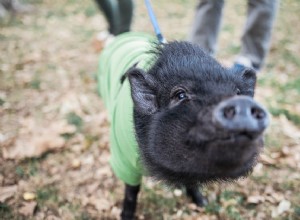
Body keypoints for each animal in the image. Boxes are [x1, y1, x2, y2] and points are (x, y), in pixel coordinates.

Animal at [96, 31, 270, 219]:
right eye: (180, 95)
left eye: (237, 92)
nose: (241, 104)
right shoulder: (123, 158)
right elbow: (131, 190)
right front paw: (126, 216)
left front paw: (202, 203)